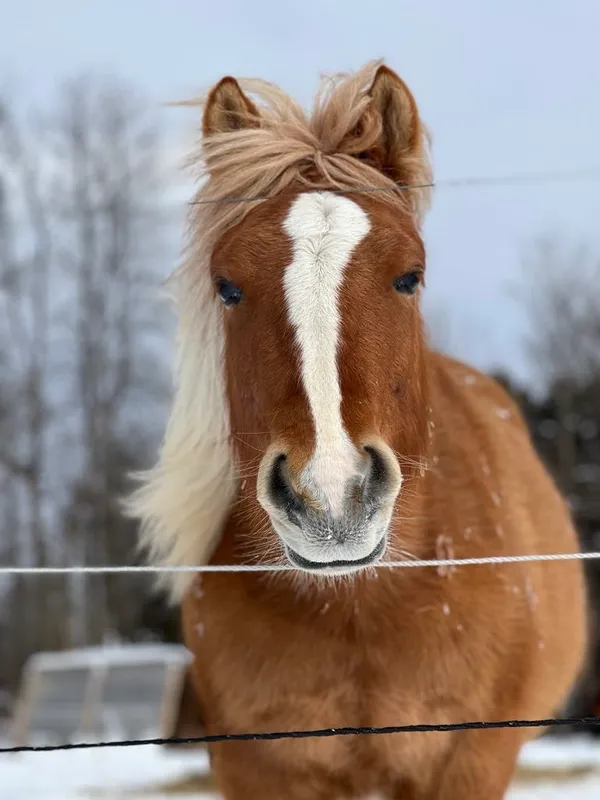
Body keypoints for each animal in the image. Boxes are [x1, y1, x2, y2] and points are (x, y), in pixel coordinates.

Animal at [127, 61, 588, 798]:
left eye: (410, 276)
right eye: (227, 287)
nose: (332, 499)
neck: (362, 613)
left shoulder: (472, 760)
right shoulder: (255, 767)